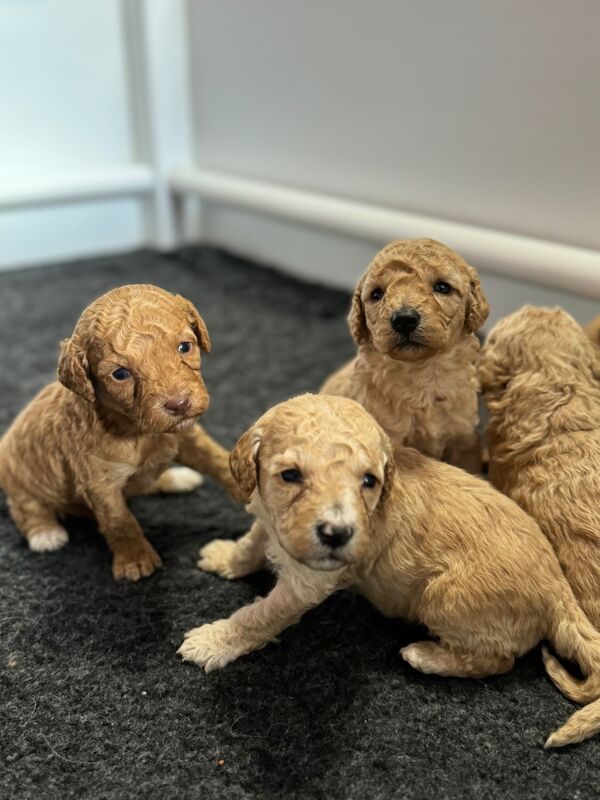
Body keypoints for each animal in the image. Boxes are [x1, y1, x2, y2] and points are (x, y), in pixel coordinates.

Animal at [0, 284, 241, 580]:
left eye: (185, 347)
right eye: (120, 374)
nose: (179, 404)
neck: (140, 430)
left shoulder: (188, 438)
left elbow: (217, 458)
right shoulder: (99, 482)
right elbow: (119, 520)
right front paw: (135, 558)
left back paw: (178, 478)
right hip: (19, 480)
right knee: (26, 508)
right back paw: (45, 534)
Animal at [177, 394, 600, 752]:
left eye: (369, 481)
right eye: (290, 475)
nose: (337, 533)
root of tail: (560, 589)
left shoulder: (308, 583)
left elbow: (259, 615)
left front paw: (215, 641)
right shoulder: (269, 521)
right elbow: (250, 543)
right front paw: (225, 557)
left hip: (443, 598)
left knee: (495, 661)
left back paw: (425, 656)